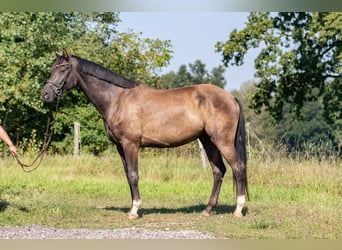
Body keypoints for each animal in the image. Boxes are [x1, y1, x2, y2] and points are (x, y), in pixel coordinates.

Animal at [41, 48, 248, 219]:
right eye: (53, 68)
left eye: (63, 69)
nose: (45, 94)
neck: (117, 98)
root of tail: (231, 97)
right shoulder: (120, 147)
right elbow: (128, 176)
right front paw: (132, 207)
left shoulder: (131, 144)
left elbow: (134, 175)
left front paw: (134, 211)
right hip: (208, 141)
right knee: (218, 171)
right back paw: (208, 209)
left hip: (222, 142)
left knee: (238, 168)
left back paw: (238, 210)